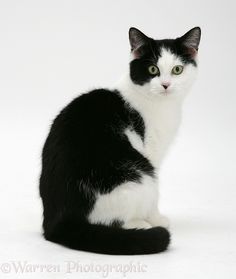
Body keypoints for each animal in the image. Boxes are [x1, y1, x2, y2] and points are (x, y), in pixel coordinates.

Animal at [39, 26, 201, 256]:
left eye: (177, 69)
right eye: (153, 69)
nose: (166, 85)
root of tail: (57, 222)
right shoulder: (151, 153)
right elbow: (155, 201)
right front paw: (156, 218)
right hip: (140, 173)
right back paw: (141, 225)